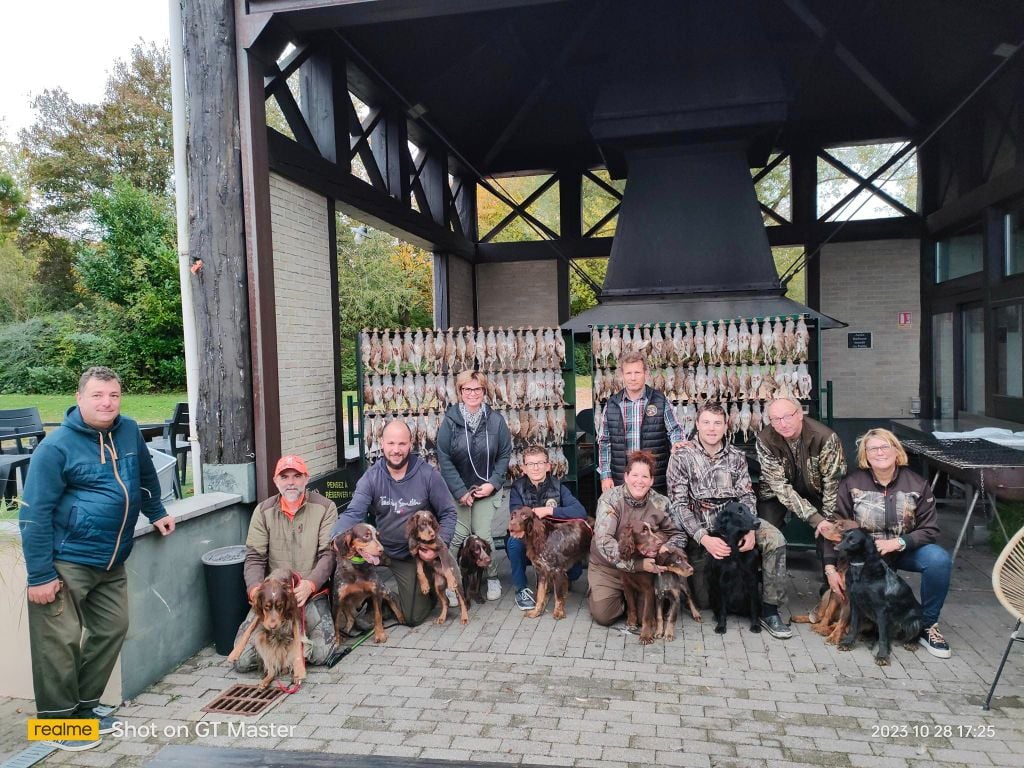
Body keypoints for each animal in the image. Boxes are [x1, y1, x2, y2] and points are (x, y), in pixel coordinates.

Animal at [708, 501, 765, 634]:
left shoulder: (752, 579)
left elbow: (753, 607)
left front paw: (755, 625)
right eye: (739, 511)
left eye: (749, 509)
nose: (758, 522)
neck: (735, 548)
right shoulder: (721, 581)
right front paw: (721, 626)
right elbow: (722, 609)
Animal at [835, 528, 925, 667]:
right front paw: (848, 642)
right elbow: (853, 626)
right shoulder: (855, 603)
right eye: (842, 537)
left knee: (916, 634)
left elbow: (883, 637)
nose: (836, 549)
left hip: (915, 621)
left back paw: (911, 643)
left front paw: (882, 656)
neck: (860, 570)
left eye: (852, 541)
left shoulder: (881, 609)